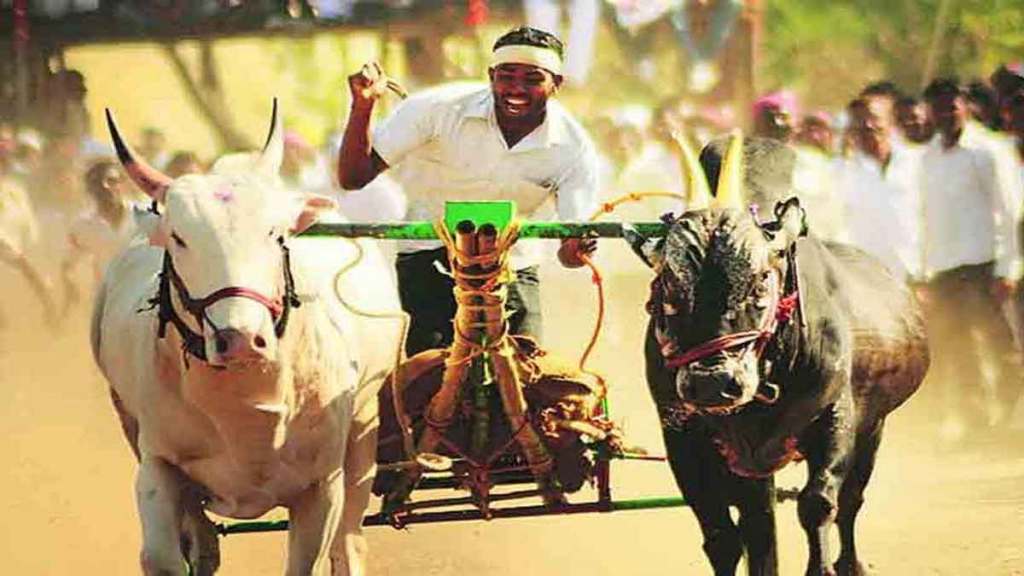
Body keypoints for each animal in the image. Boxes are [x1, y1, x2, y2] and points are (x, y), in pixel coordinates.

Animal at [92, 104, 401, 573]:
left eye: (276, 234)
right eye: (179, 238)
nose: (239, 338)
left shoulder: (322, 484)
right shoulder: (157, 464)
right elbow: (162, 557)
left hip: (365, 425)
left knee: (349, 542)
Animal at [626, 135, 933, 573]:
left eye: (760, 282)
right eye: (668, 285)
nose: (712, 383)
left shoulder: (837, 416)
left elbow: (818, 504)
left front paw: (822, 566)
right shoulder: (683, 437)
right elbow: (723, 536)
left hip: (874, 427)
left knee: (851, 502)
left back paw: (850, 562)